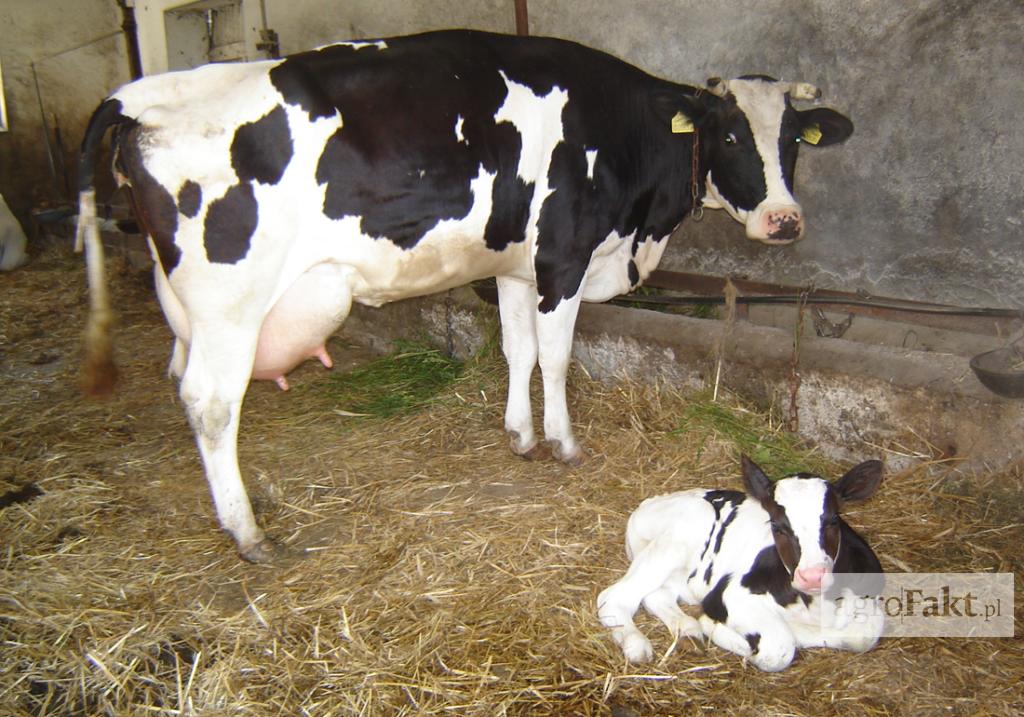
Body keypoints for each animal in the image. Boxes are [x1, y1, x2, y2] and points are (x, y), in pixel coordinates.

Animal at [74, 32, 856, 561]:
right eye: (730, 135)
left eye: (794, 140)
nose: (784, 220)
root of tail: (145, 92)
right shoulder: (563, 258)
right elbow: (556, 356)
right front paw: (564, 442)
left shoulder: (514, 265)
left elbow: (517, 351)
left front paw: (520, 435)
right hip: (232, 303)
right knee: (210, 403)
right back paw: (247, 531)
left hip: (186, 306)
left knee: (181, 375)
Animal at [598, 456, 884, 667]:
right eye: (777, 526)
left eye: (834, 521)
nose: (812, 575)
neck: (815, 604)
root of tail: (650, 501)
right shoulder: (730, 594)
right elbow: (778, 648)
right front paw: (713, 626)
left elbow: (864, 636)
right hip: (691, 521)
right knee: (612, 597)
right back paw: (637, 644)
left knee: (656, 595)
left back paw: (688, 632)